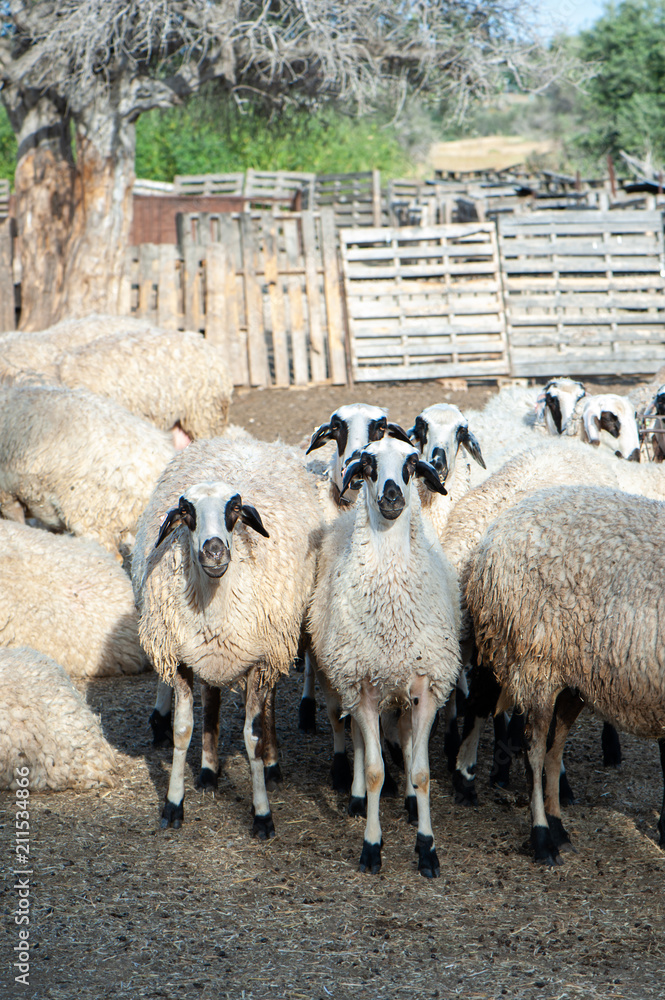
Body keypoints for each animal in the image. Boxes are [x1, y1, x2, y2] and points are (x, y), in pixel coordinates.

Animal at [133, 435, 322, 837]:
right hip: (210, 653)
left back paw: (272, 764)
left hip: (274, 648)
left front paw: (262, 813)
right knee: (212, 697)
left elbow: (252, 738)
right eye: (186, 512)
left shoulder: (261, 660)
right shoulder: (182, 659)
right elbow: (182, 730)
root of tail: (239, 439)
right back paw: (208, 770)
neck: (216, 601)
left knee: (267, 703)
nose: (214, 550)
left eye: (233, 510)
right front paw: (174, 805)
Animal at [308, 437, 461, 877]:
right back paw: (358, 797)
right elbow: (376, 770)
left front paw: (427, 848)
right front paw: (371, 847)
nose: (392, 495)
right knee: (361, 741)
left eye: (410, 465)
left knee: (405, 740)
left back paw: (408, 800)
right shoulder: (362, 686)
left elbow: (423, 773)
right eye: (369, 467)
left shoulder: (427, 687)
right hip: (348, 678)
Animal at [465, 484, 665, 864]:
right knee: (534, 749)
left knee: (554, 750)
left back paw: (559, 829)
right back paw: (543, 838)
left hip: (573, 679)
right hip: (535, 661)